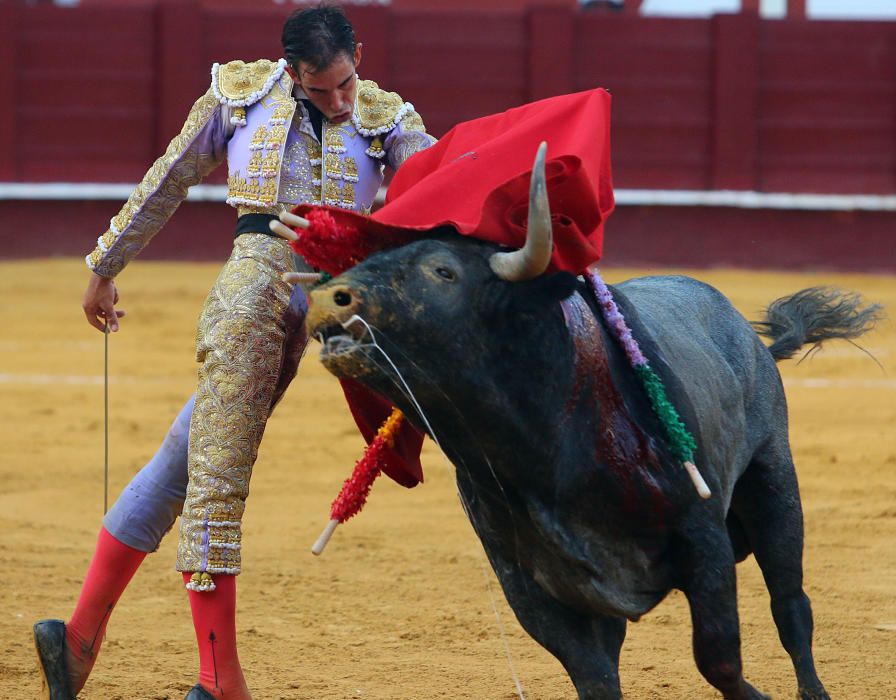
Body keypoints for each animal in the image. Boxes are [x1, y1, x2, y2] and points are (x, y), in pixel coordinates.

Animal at [292, 145, 876, 696]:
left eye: (443, 271)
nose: (327, 298)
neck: (544, 443)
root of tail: (748, 336)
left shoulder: (702, 533)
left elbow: (719, 657)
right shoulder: (530, 584)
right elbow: (594, 676)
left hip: (774, 479)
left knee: (791, 604)